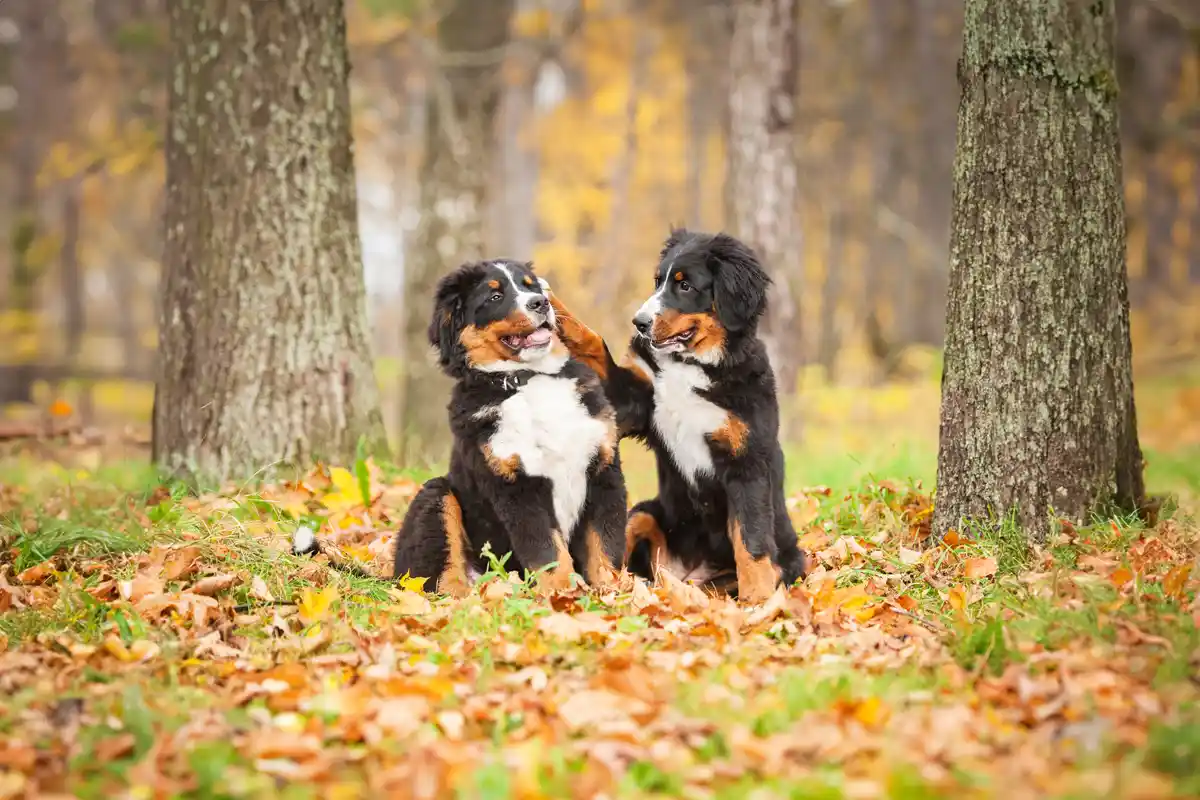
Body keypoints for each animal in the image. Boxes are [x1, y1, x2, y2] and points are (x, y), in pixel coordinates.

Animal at [384, 260, 628, 597]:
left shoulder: (603, 468)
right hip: (436, 496)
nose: (541, 303)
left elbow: (605, 545)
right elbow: (547, 550)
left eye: (530, 286)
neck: (530, 378)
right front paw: (563, 595)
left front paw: (614, 594)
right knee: (439, 579)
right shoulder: (514, 485)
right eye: (495, 296)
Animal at [549, 227, 806, 604]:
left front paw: (759, 600)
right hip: (646, 513)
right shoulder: (635, 402)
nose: (639, 323)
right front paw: (555, 308)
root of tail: (686, 575)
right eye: (658, 281)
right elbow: (595, 344)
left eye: (685, 285)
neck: (692, 365)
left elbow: (752, 539)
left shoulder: (746, 461)